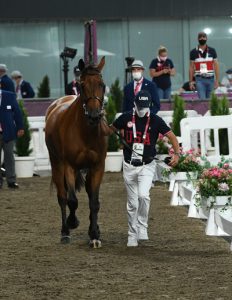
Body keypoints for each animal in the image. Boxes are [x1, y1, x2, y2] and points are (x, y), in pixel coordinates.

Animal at [45, 57, 108, 247]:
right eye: (82, 85)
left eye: (102, 84)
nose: (94, 116)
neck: (85, 131)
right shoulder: (69, 166)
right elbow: (72, 200)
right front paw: (73, 222)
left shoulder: (97, 166)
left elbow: (94, 202)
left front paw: (94, 234)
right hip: (57, 165)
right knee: (62, 196)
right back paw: (65, 232)